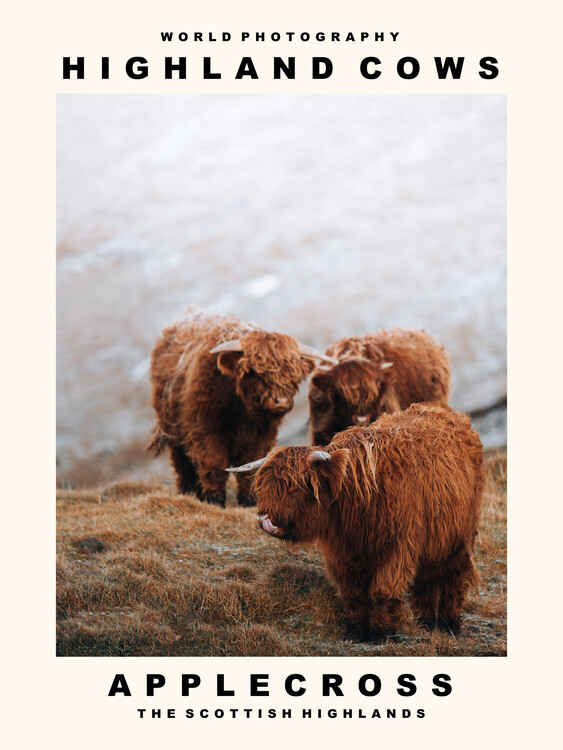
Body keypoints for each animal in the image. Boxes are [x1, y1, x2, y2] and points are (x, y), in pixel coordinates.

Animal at [148, 306, 337, 507]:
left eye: (293, 373)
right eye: (254, 372)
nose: (281, 401)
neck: (241, 411)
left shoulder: (263, 435)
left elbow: (251, 464)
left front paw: (250, 499)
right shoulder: (203, 429)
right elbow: (213, 463)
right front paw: (214, 499)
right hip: (172, 429)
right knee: (182, 463)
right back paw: (188, 492)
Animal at [228, 403, 483, 642]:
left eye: (294, 486)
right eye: (263, 486)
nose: (264, 519)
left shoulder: (398, 547)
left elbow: (384, 590)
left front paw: (382, 634)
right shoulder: (342, 551)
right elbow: (352, 593)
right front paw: (355, 632)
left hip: (461, 538)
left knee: (455, 578)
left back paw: (449, 625)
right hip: (432, 542)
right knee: (427, 580)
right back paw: (426, 623)